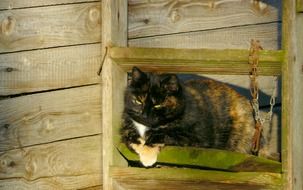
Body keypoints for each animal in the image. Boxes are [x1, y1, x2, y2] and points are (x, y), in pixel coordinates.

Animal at [121, 66, 262, 166]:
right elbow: (131, 136)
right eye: (138, 101)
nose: (144, 114)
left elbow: (164, 135)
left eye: (158, 105)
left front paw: (148, 156)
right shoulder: (126, 126)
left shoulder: (196, 138)